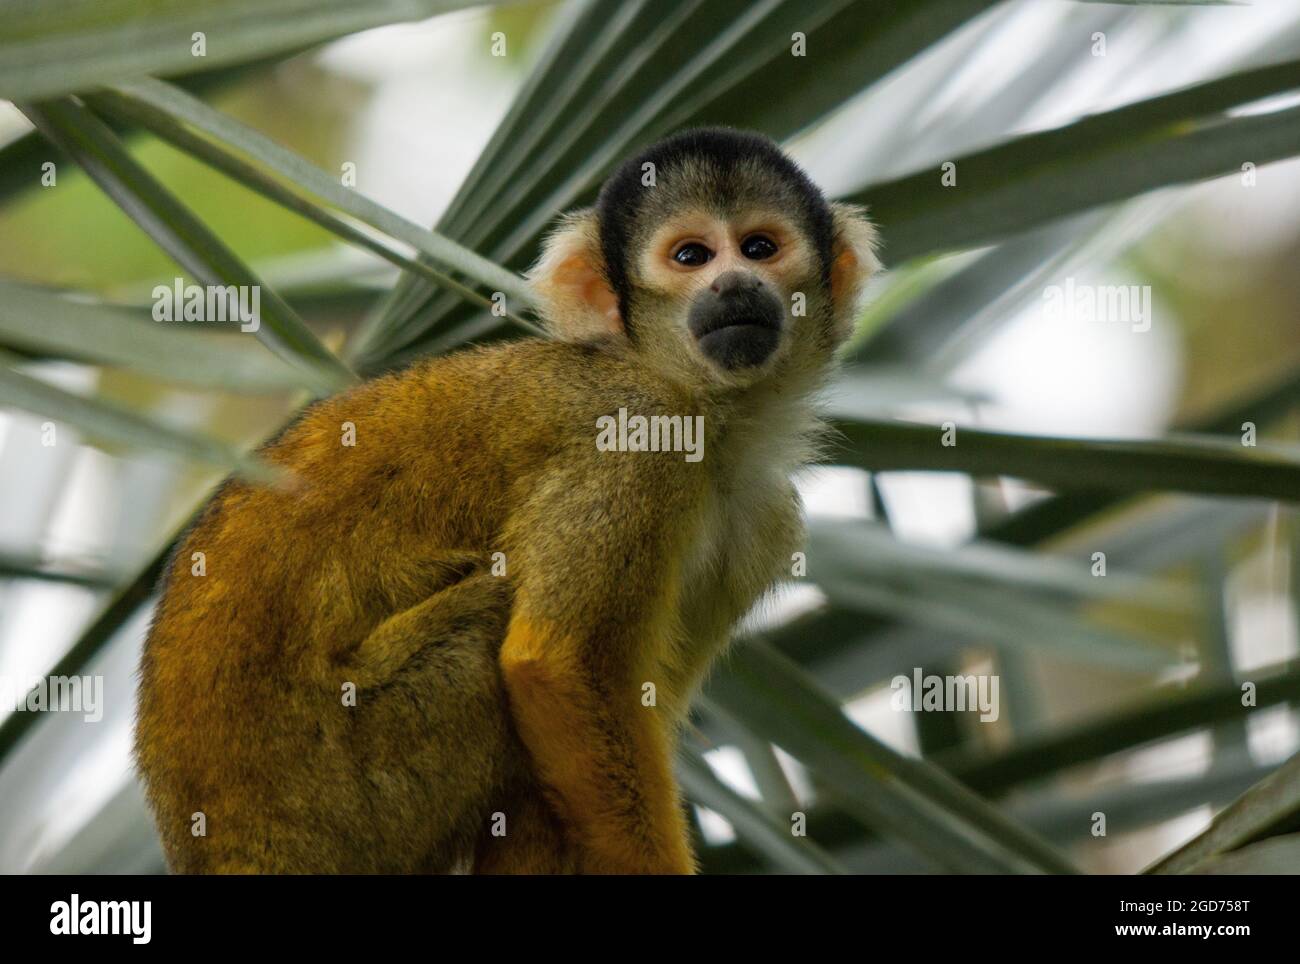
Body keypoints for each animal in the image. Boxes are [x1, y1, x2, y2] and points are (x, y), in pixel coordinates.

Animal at [134, 128, 883, 878]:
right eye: (691, 257)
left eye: (759, 247)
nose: (732, 284)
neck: (706, 411)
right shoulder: (637, 438)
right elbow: (560, 669)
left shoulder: (766, 519)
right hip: (332, 794)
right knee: (487, 628)